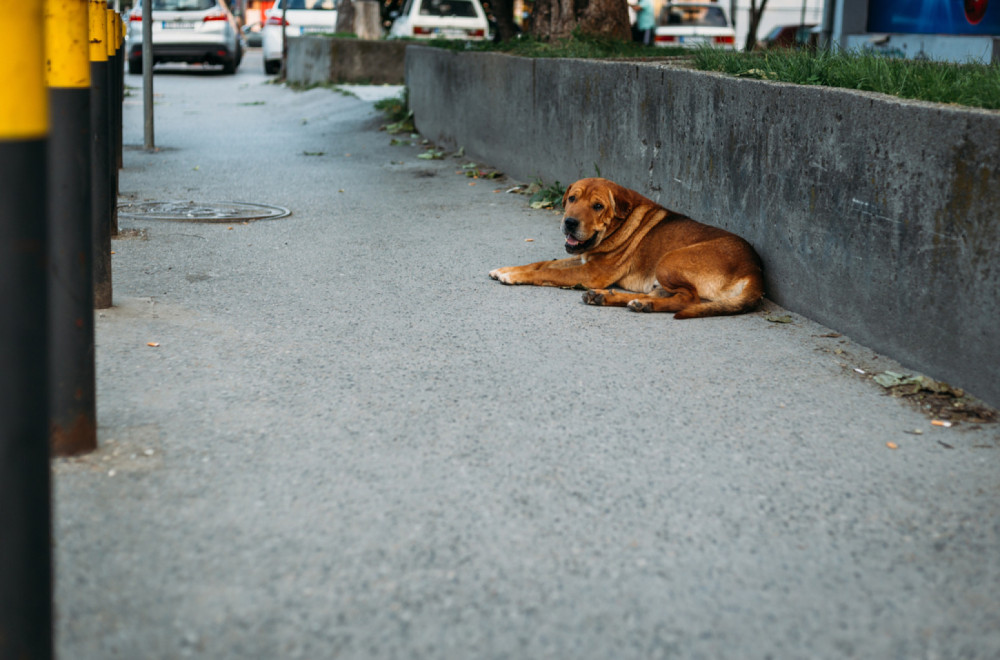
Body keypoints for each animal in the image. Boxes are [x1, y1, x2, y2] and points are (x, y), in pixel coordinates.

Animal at [492, 178, 764, 318]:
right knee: (664, 295)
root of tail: (755, 272)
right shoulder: (583, 260)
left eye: (598, 206)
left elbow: (546, 272)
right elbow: (543, 263)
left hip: (669, 260)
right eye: (572, 199)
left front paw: (513, 276)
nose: (569, 222)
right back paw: (610, 298)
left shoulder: (591, 272)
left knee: (688, 298)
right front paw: (507, 269)